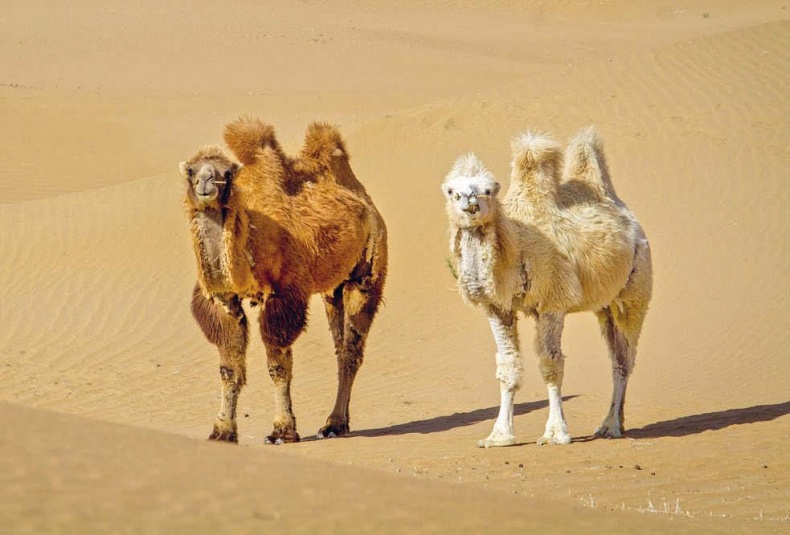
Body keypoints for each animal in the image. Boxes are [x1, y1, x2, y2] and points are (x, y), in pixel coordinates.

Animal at [180, 116, 390, 444]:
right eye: (192, 170)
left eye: (226, 173)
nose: (206, 182)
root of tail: (367, 205)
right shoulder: (223, 298)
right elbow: (229, 367)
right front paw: (222, 431)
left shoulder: (283, 295)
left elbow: (278, 365)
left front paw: (282, 429)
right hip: (333, 289)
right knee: (340, 344)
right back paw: (338, 423)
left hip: (368, 271)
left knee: (351, 349)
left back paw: (333, 423)